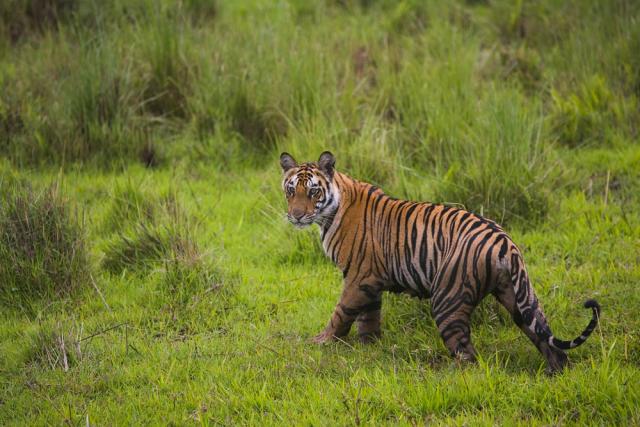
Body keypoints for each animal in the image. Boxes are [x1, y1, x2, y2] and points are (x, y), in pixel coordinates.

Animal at [280, 151, 601, 373]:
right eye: (290, 190)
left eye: (313, 191)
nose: (296, 215)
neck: (330, 212)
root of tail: (503, 241)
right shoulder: (371, 280)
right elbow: (368, 317)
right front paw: (369, 346)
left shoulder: (358, 277)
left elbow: (342, 312)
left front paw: (321, 341)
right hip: (518, 297)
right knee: (544, 336)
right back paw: (555, 372)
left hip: (448, 297)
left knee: (468, 354)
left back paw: (448, 371)